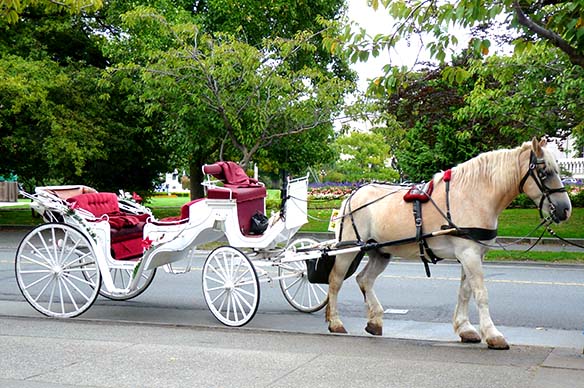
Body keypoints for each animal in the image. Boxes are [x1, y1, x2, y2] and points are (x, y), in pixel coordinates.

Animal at [326, 139, 572, 348]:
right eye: (544, 172)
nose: (565, 209)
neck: (476, 195)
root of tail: (352, 195)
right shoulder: (469, 254)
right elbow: (481, 293)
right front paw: (492, 334)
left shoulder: (473, 254)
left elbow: (465, 291)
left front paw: (465, 329)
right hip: (347, 251)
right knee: (335, 281)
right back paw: (335, 322)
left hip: (380, 251)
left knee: (364, 279)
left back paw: (375, 321)